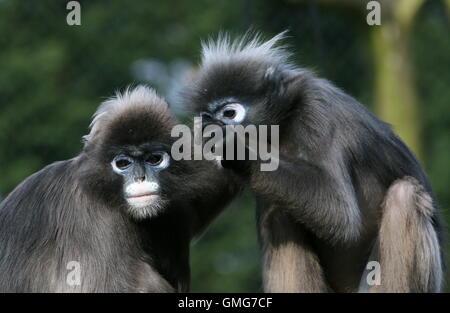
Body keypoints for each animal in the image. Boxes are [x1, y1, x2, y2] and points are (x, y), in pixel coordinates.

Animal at [185, 33, 444, 292]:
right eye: (207, 116)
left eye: (229, 113)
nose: (210, 128)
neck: (283, 127)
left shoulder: (319, 109)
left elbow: (340, 214)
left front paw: (234, 149)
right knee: (278, 210)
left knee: (404, 194)